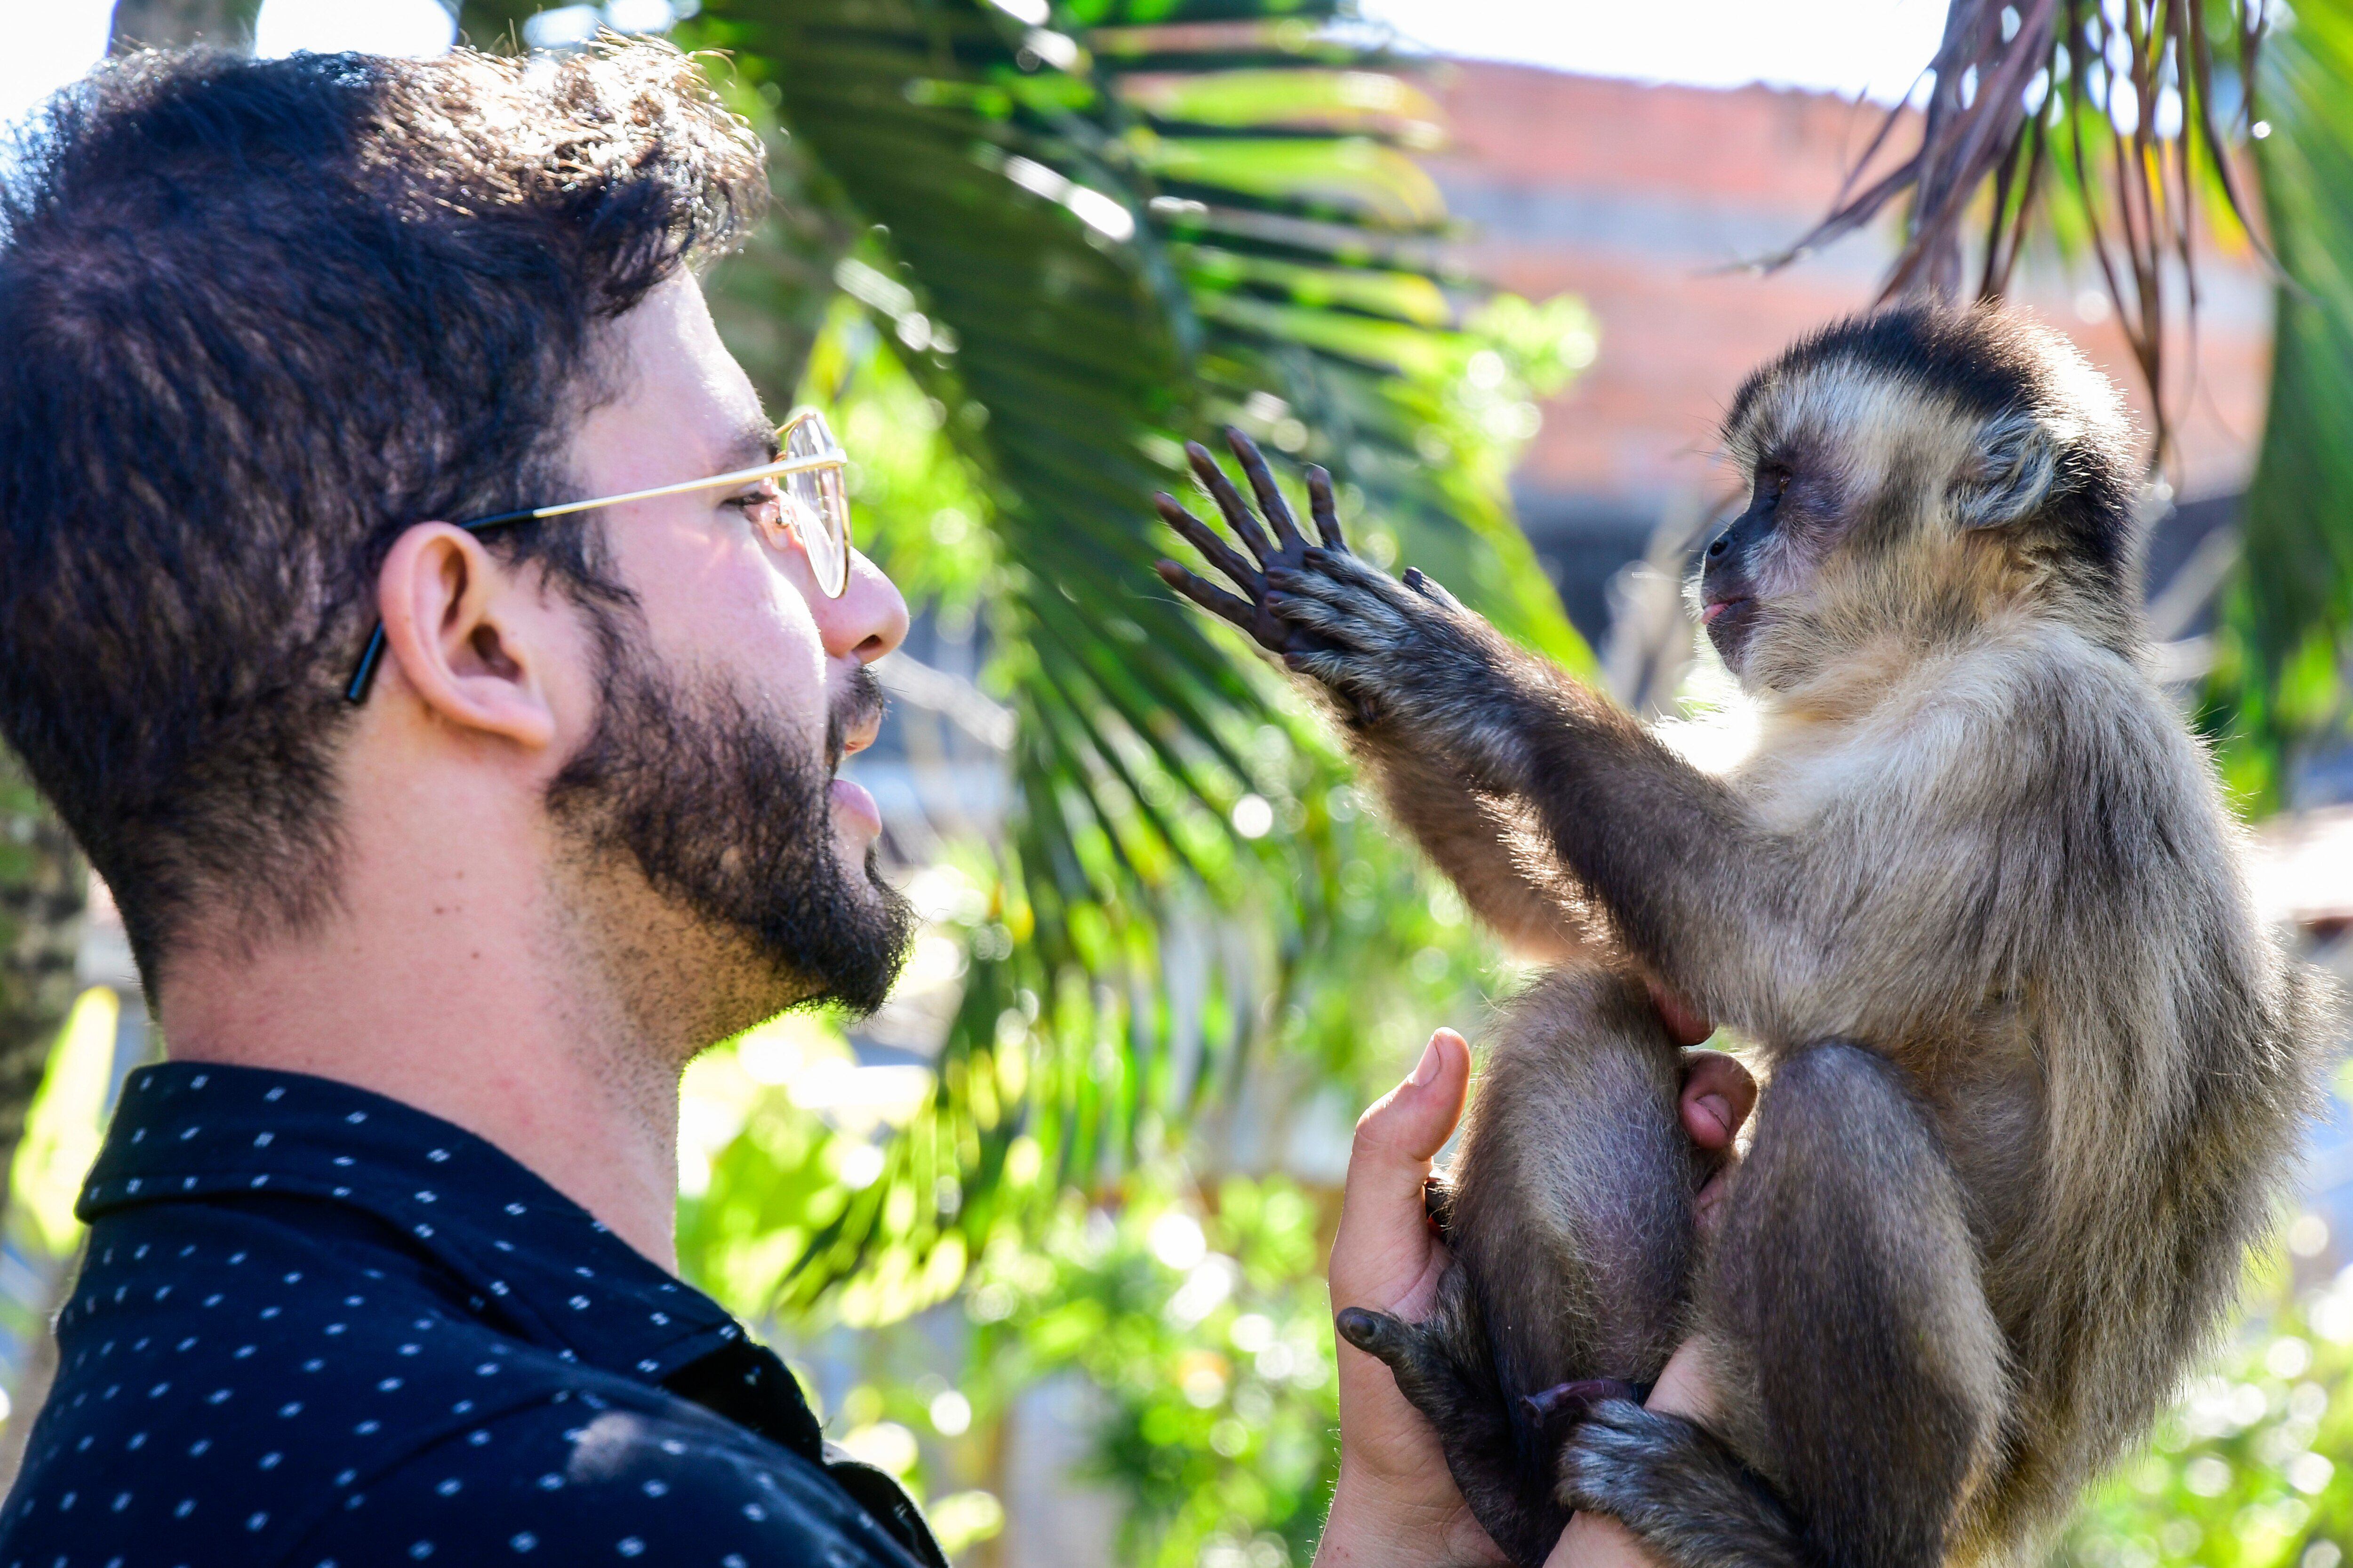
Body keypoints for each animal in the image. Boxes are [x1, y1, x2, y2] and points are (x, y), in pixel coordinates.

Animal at [1148, 301, 2325, 1563]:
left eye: (1782, 486)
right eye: (1748, 488)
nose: (1715, 545)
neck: (1943, 652)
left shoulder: (2040, 726)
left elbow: (1783, 959)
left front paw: (1469, 679)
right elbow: (1592, 939)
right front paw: (1340, 658)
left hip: (1919, 1459)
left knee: (1836, 1106)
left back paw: (1781, 1534)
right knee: (1586, 1015)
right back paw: (1502, 1470)